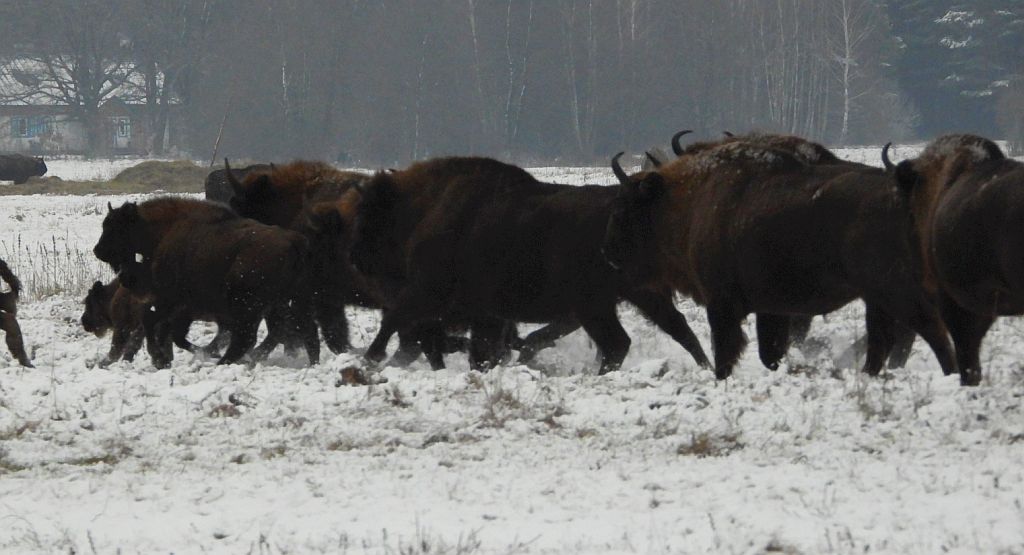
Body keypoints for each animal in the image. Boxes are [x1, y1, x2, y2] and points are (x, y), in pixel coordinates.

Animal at [603, 142, 958, 381]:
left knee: (927, 329)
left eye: (624, 209)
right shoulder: (770, 309)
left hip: (893, 290)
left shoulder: (722, 305)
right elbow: (768, 353)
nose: (608, 255)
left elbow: (727, 351)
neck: (690, 201)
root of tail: (902, 196)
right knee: (884, 339)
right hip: (877, 297)